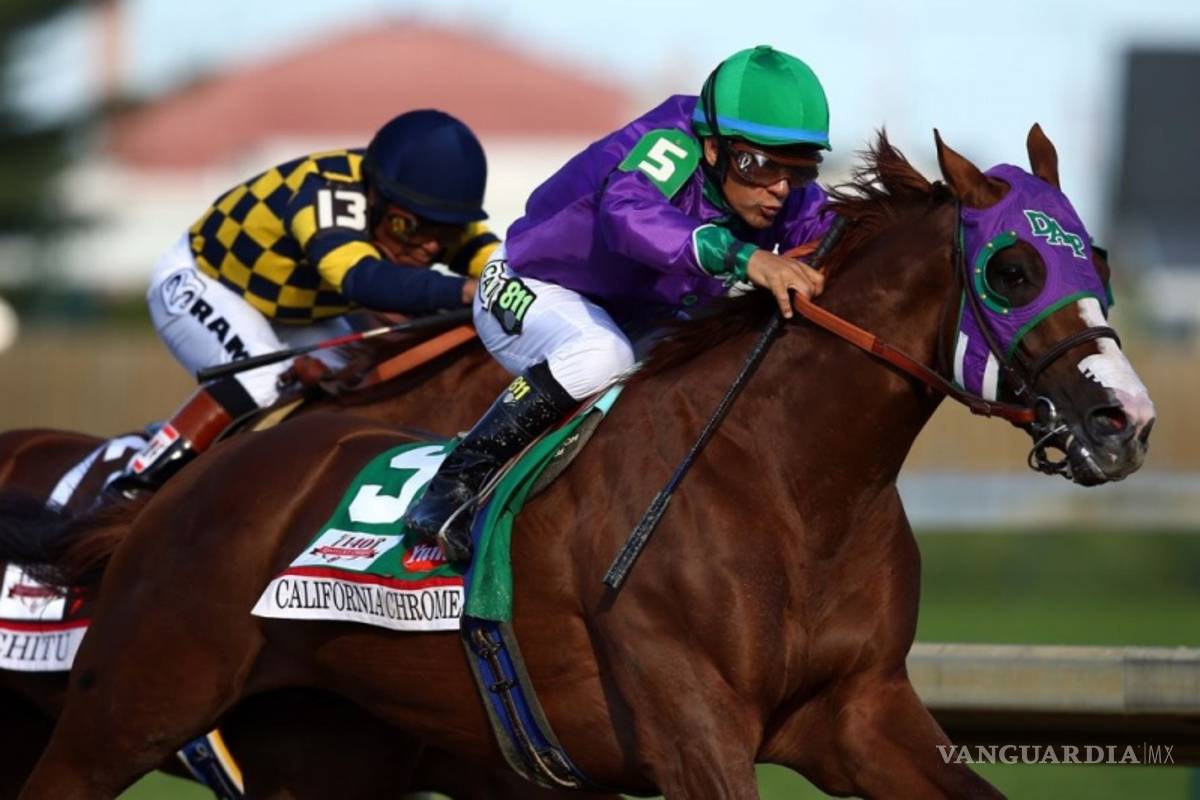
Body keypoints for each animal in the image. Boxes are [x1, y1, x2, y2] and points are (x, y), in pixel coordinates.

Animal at [6, 127, 1155, 799]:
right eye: (1011, 268)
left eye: (1095, 256)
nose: (1126, 420)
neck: (791, 487)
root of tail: (182, 497)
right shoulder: (687, 724)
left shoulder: (858, 714)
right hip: (128, 707)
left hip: (321, 746)